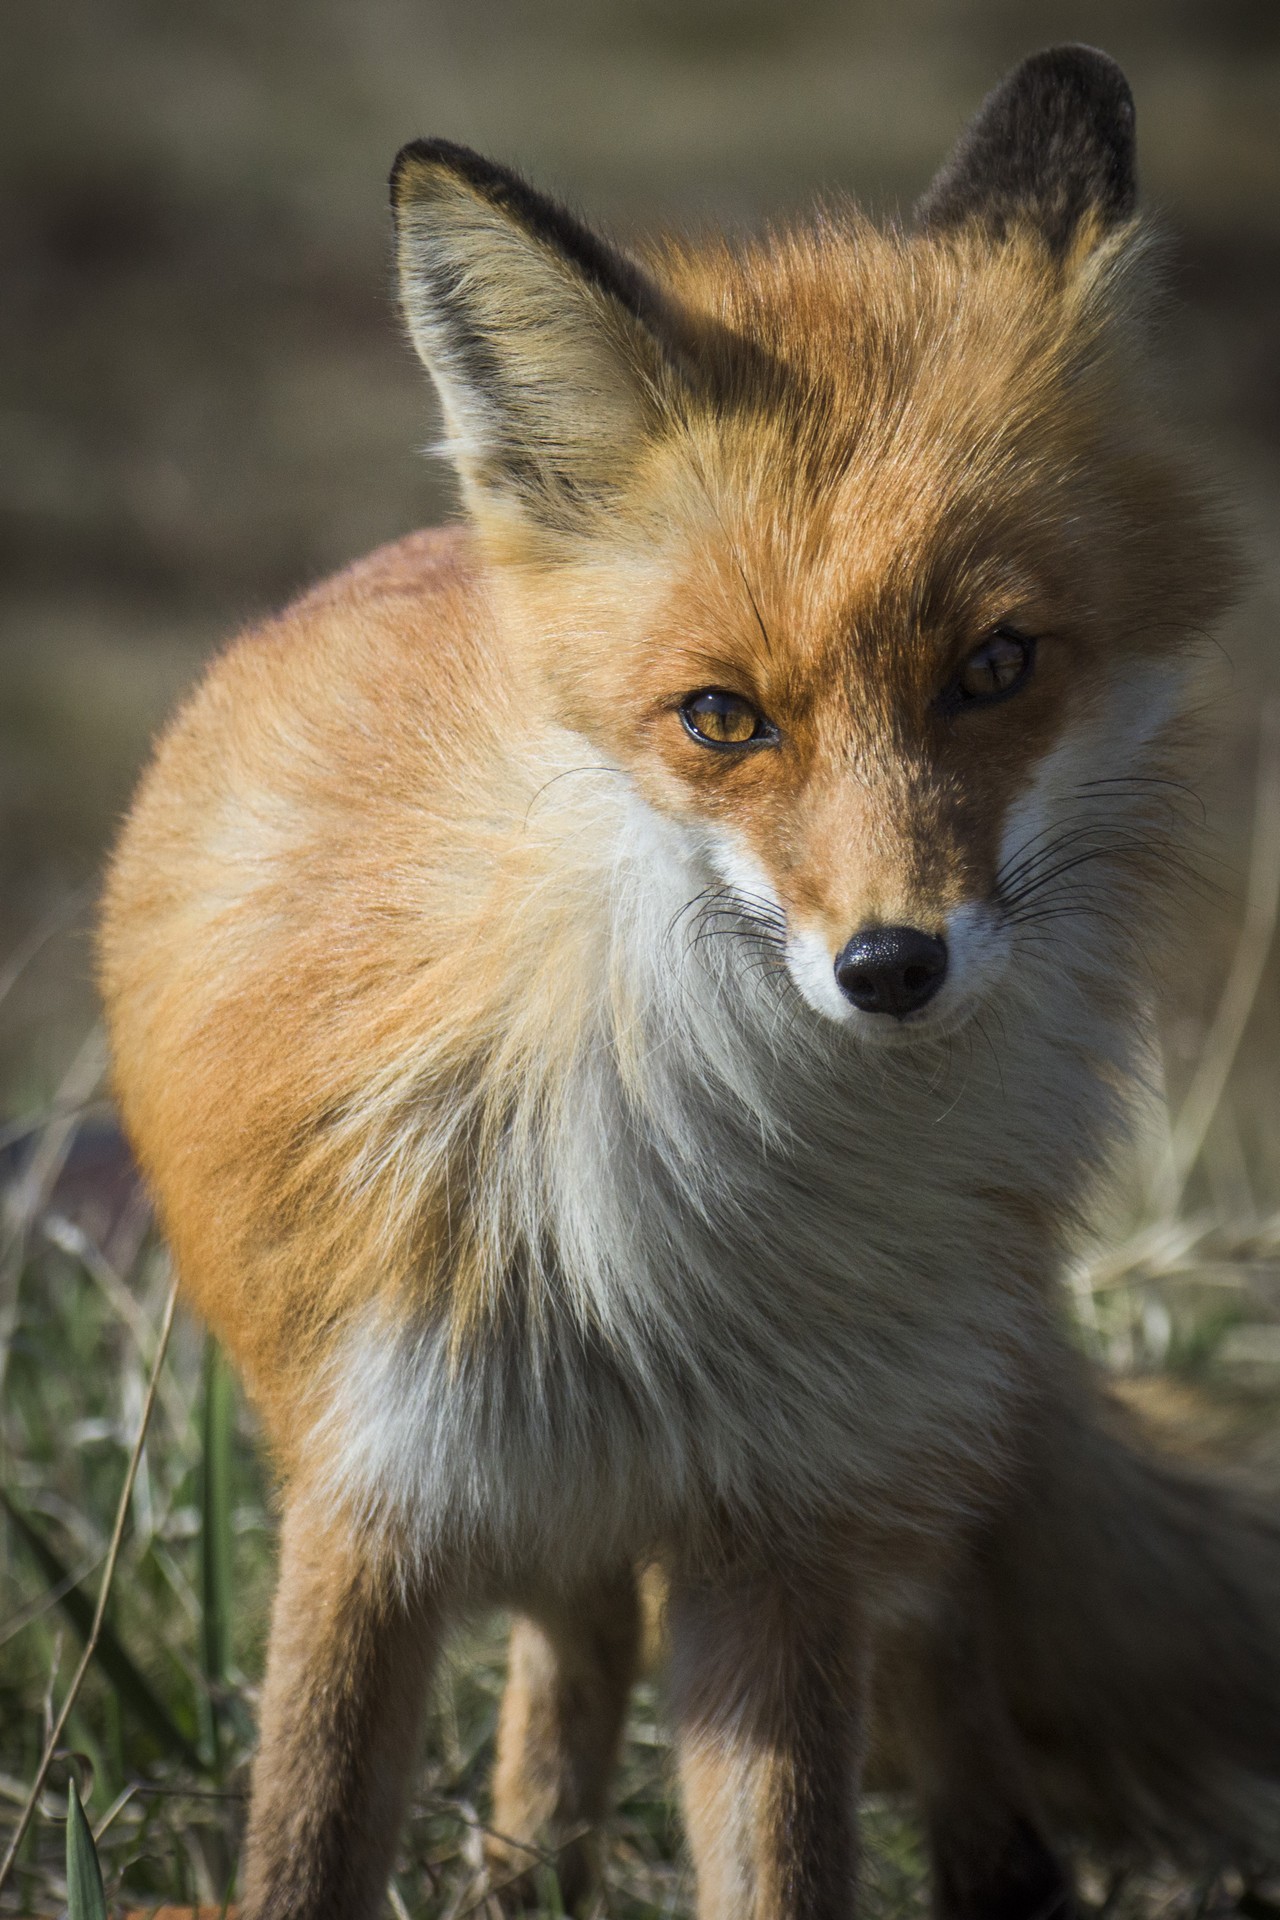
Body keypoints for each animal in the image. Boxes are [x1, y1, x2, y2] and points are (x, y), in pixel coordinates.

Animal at [97, 41, 1280, 1920]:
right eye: (722, 718)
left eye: (996, 666)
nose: (891, 965)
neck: (687, 1250)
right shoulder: (377, 1493)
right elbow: (304, 1844)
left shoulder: (781, 1528)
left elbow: (790, 1862)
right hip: (544, 1504)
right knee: (574, 1657)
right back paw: (529, 1869)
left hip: (899, 1481)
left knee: (939, 1684)